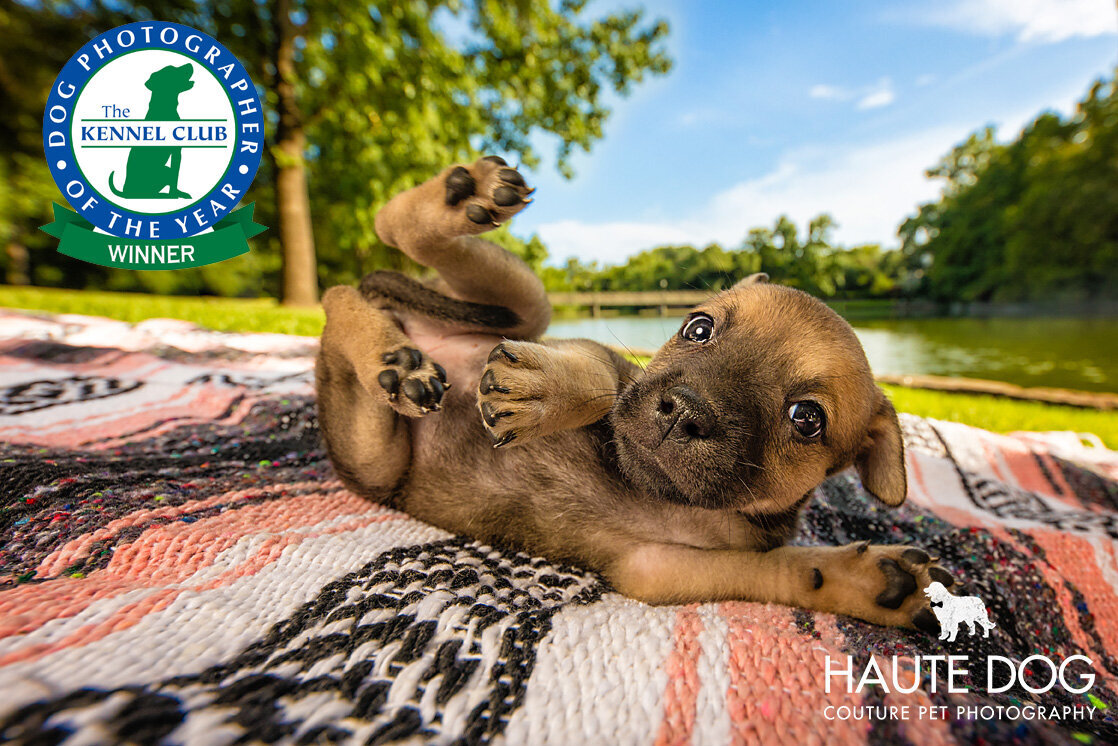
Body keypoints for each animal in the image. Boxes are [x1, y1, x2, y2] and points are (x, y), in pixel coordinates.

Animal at [315, 156, 952, 630]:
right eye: (697, 328)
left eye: (807, 419)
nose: (684, 411)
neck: (659, 495)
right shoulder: (608, 362)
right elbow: (604, 382)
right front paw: (539, 392)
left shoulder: (658, 568)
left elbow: (789, 572)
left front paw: (874, 584)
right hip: (525, 311)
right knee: (372, 252)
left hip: (381, 452)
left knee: (344, 294)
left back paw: (395, 354)